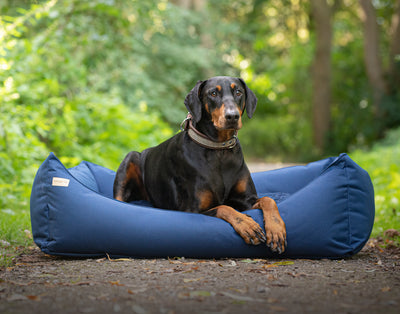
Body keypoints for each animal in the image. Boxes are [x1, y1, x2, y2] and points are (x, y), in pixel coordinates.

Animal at [114, 76, 286, 253]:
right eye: (213, 93)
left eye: (238, 92)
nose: (232, 116)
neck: (219, 150)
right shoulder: (193, 209)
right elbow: (223, 207)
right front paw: (246, 224)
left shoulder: (246, 199)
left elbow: (268, 200)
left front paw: (276, 230)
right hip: (131, 157)